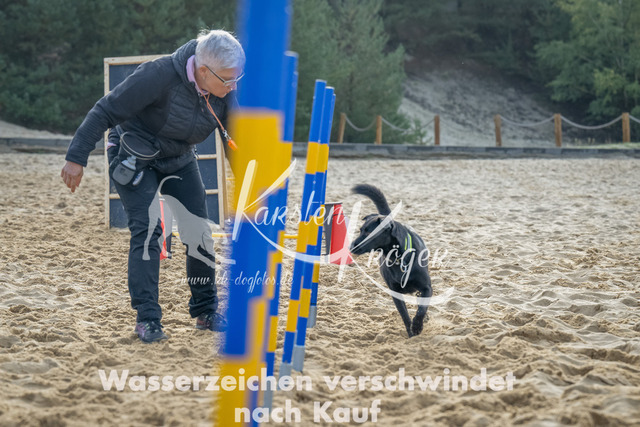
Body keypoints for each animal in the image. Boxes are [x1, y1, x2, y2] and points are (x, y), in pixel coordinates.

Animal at [350, 184, 432, 337]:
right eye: (360, 230)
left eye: (369, 232)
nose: (351, 246)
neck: (399, 259)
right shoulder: (395, 293)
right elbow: (405, 315)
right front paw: (411, 333)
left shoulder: (426, 287)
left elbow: (421, 309)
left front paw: (417, 326)